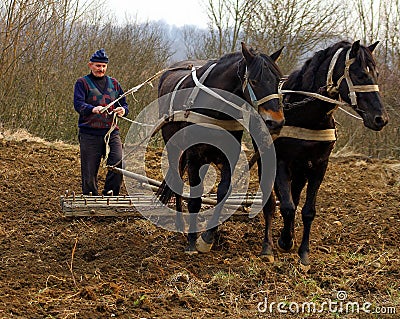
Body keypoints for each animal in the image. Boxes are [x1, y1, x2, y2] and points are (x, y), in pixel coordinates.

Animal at [156, 42, 284, 252]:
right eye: (254, 81)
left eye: (278, 81)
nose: (276, 122)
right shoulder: (194, 156)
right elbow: (195, 199)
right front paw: (192, 241)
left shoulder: (228, 155)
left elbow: (223, 193)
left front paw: (207, 237)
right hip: (173, 146)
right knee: (176, 181)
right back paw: (180, 225)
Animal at [260, 40, 390, 270]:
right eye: (359, 75)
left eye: (375, 73)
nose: (380, 119)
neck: (306, 115)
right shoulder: (282, 162)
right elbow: (286, 207)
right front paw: (284, 242)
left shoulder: (319, 165)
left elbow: (307, 210)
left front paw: (302, 252)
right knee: (271, 204)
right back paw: (268, 247)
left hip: (301, 171)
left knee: (294, 195)